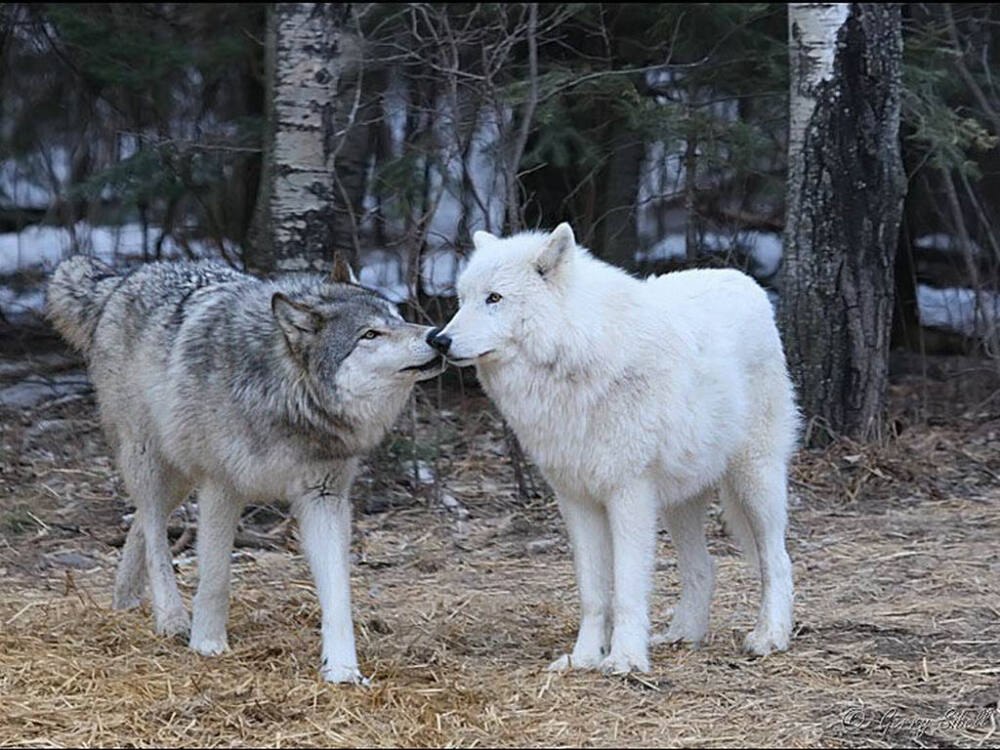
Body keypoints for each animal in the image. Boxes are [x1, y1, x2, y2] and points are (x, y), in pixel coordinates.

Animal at [46, 256, 446, 684]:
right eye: (370, 334)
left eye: (398, 317)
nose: (437, 336)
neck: (285, 396)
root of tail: (125, 277)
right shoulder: (222, 486)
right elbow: (216, 576)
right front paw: (207, 643)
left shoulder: (324, 497)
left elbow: (338, 593)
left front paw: (342, 669)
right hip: (152, 462)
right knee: (154, 534)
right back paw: (171, 618)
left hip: (180, 474)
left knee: (140, 523)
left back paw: (125, 598)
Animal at [430, 222, 796, 676]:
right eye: (461, 299)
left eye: (493, 298)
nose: (439, 340)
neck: (576, 356)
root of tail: (747, 283)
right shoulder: (576, 500)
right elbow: (593, 593)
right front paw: (584, 658)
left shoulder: (629, 494)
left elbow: (626, 590)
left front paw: (624, 659)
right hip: (679, 502)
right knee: (703, 567)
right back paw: (683, 635)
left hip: (755, 481)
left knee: (777, 560)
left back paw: (770, 637)